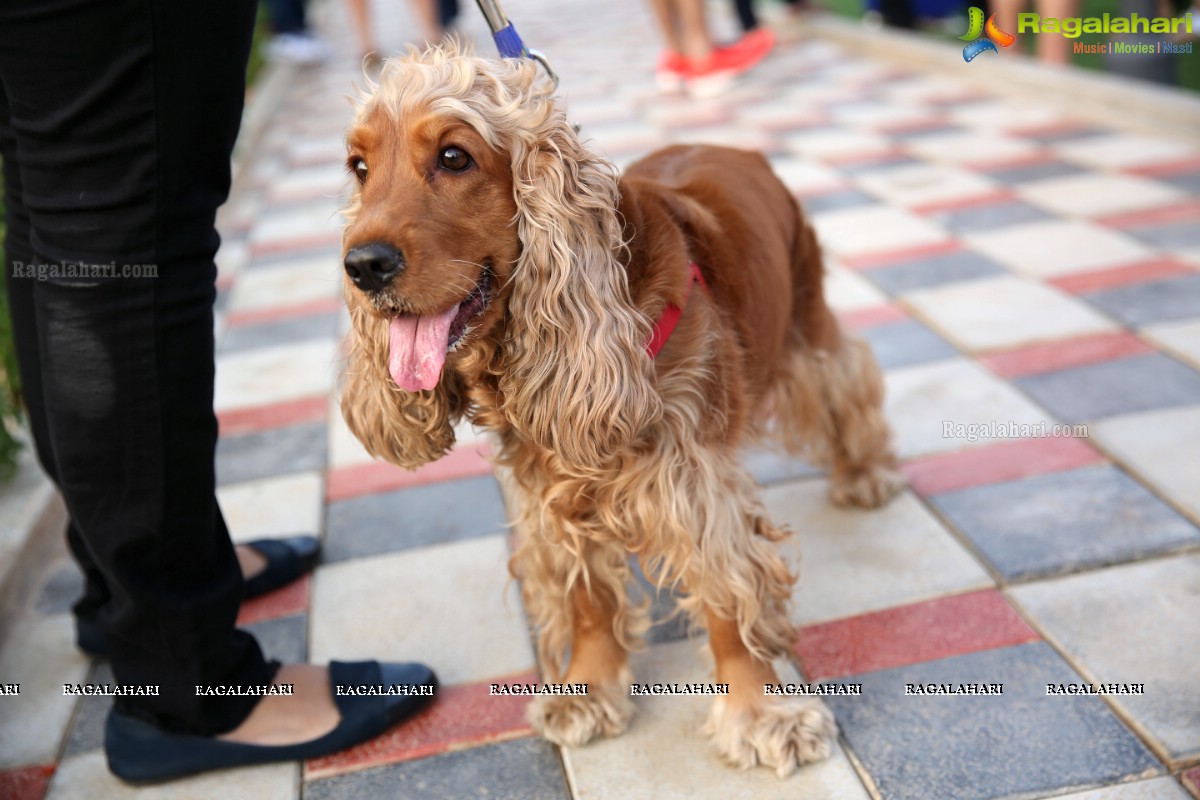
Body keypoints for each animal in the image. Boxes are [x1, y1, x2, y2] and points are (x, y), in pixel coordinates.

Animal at [338, 42, 902, 777]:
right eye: (359, 166)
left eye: (455, 157)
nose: (362, 266)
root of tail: (735, 146)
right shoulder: (548, 491)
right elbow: (584, 598)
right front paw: (587, 689)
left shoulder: (694, 479)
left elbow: (727, 593)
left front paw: (760, 714)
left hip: (803, 323)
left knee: (846, 378)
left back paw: (865, 473)